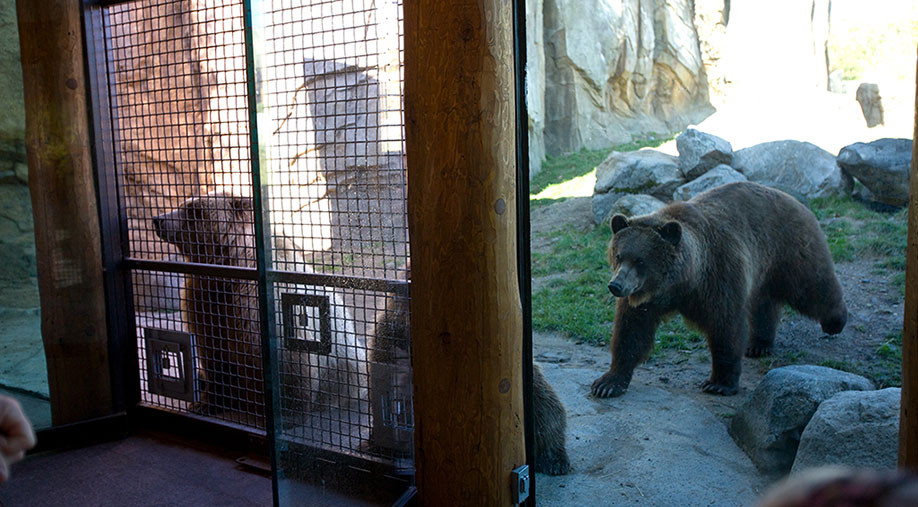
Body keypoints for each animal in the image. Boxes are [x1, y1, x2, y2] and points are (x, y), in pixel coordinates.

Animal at [153, 192, 364, 422]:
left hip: (347, 366)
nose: (158, 219)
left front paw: (288, 411)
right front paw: (205, 403)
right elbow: (213, 354)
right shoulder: (204, 299)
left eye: (193, 210)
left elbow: (289, 359)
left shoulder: (258, 303)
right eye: (183, 204)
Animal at [596, 183, 848, 400]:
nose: (615, 285)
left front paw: (719, 383)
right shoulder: (645, 299)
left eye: (640, 260)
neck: (683, 282)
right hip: (762, 268)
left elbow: (725, 327)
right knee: (763, 304)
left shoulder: (718, 277)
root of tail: (793, 199)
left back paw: (835, 321)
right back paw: (759, 344)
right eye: (619, 255)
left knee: (812, 286)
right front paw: (608, 383)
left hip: (789, 248)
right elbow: (631, 331)